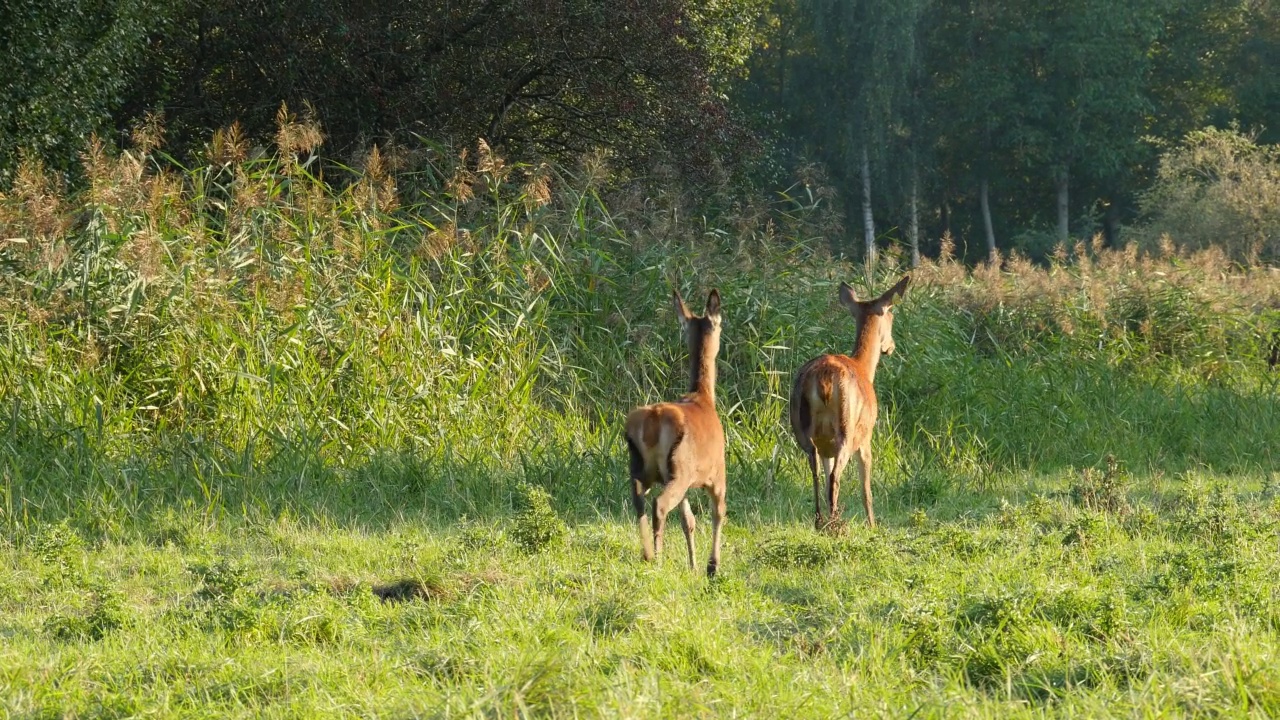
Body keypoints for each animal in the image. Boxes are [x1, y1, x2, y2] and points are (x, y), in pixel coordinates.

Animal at [622, 288, 727, 573]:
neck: (704, 398)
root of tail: (652, 421)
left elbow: (688, 520)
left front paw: (693, 565)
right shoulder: (717, 472)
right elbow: (718, 512)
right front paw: (712, 566)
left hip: (643, 468)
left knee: (638, 502)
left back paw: (648, 553)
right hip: (679, 470)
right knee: (659, 505)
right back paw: (658, 558)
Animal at [788, 272, 911, 527]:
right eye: (892, 316)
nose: (891, 347)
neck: (864, 368)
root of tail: (823, 380)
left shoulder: (825, 446)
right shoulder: (866, 437)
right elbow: (866, 488)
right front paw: (872, 524)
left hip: (803, 430)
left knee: (816, 471)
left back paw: (820, 520)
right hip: (847, 429)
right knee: (836, 476)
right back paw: (835, 523)